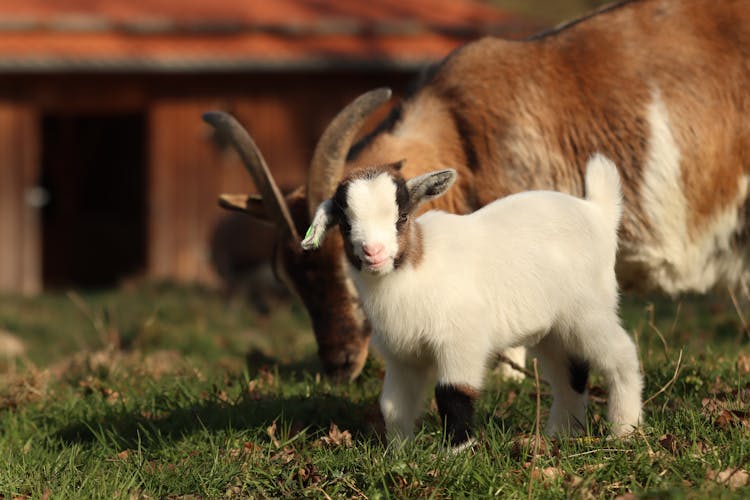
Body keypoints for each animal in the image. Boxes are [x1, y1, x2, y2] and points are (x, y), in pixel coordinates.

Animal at [302, 154, 644, 448]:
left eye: (402, 216)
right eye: (345, 224)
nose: (374, 252)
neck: (416, 267)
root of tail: (597, 212)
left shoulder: (461, 340)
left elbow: (453, 394)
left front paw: (457, 452)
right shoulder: (402, 355)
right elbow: (392, 406)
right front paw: (399, 453)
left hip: (589, 310)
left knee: (622, 355)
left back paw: (624, 430)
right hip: (553, 328)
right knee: (570, 371)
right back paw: (561, 433)